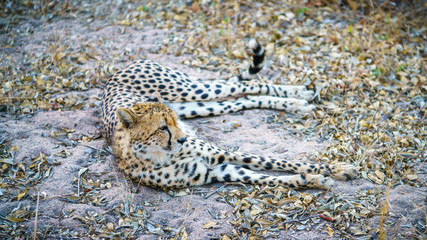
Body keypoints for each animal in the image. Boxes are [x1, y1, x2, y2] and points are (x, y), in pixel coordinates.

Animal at [102, 39, 360, 189]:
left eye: (174, 123)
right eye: (162, 128)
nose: (183, 138)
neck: (160, 154)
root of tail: (117, 72)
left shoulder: (222, 154)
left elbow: (275, 161)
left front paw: (337, 169)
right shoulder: (216, 171)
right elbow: (265, 176)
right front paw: (311, 180)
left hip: (187, 89)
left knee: (239, 85)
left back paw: (298, 95)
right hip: (197, 106)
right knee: (242, 99)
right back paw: (297, 103)